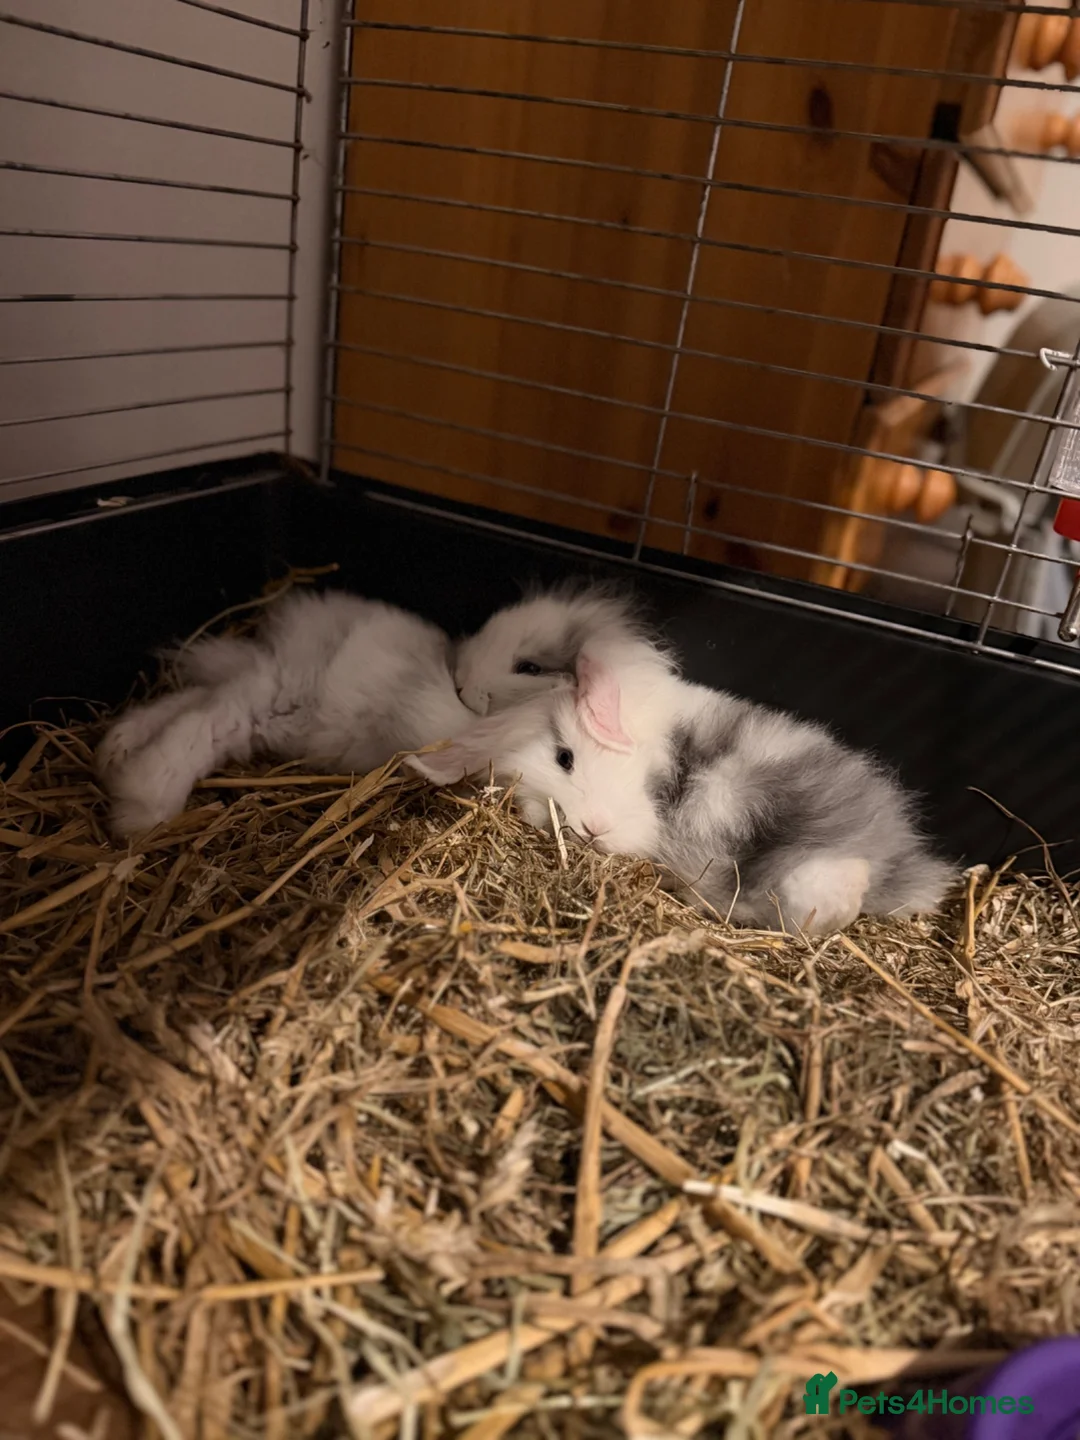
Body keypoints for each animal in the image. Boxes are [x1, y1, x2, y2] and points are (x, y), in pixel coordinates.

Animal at [98, 589, 475, 839]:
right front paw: (135, 812)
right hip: (270, 692)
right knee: (202, 718)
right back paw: (139, 798)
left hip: (266, 705)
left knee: (197, 702)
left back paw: (115, 746)